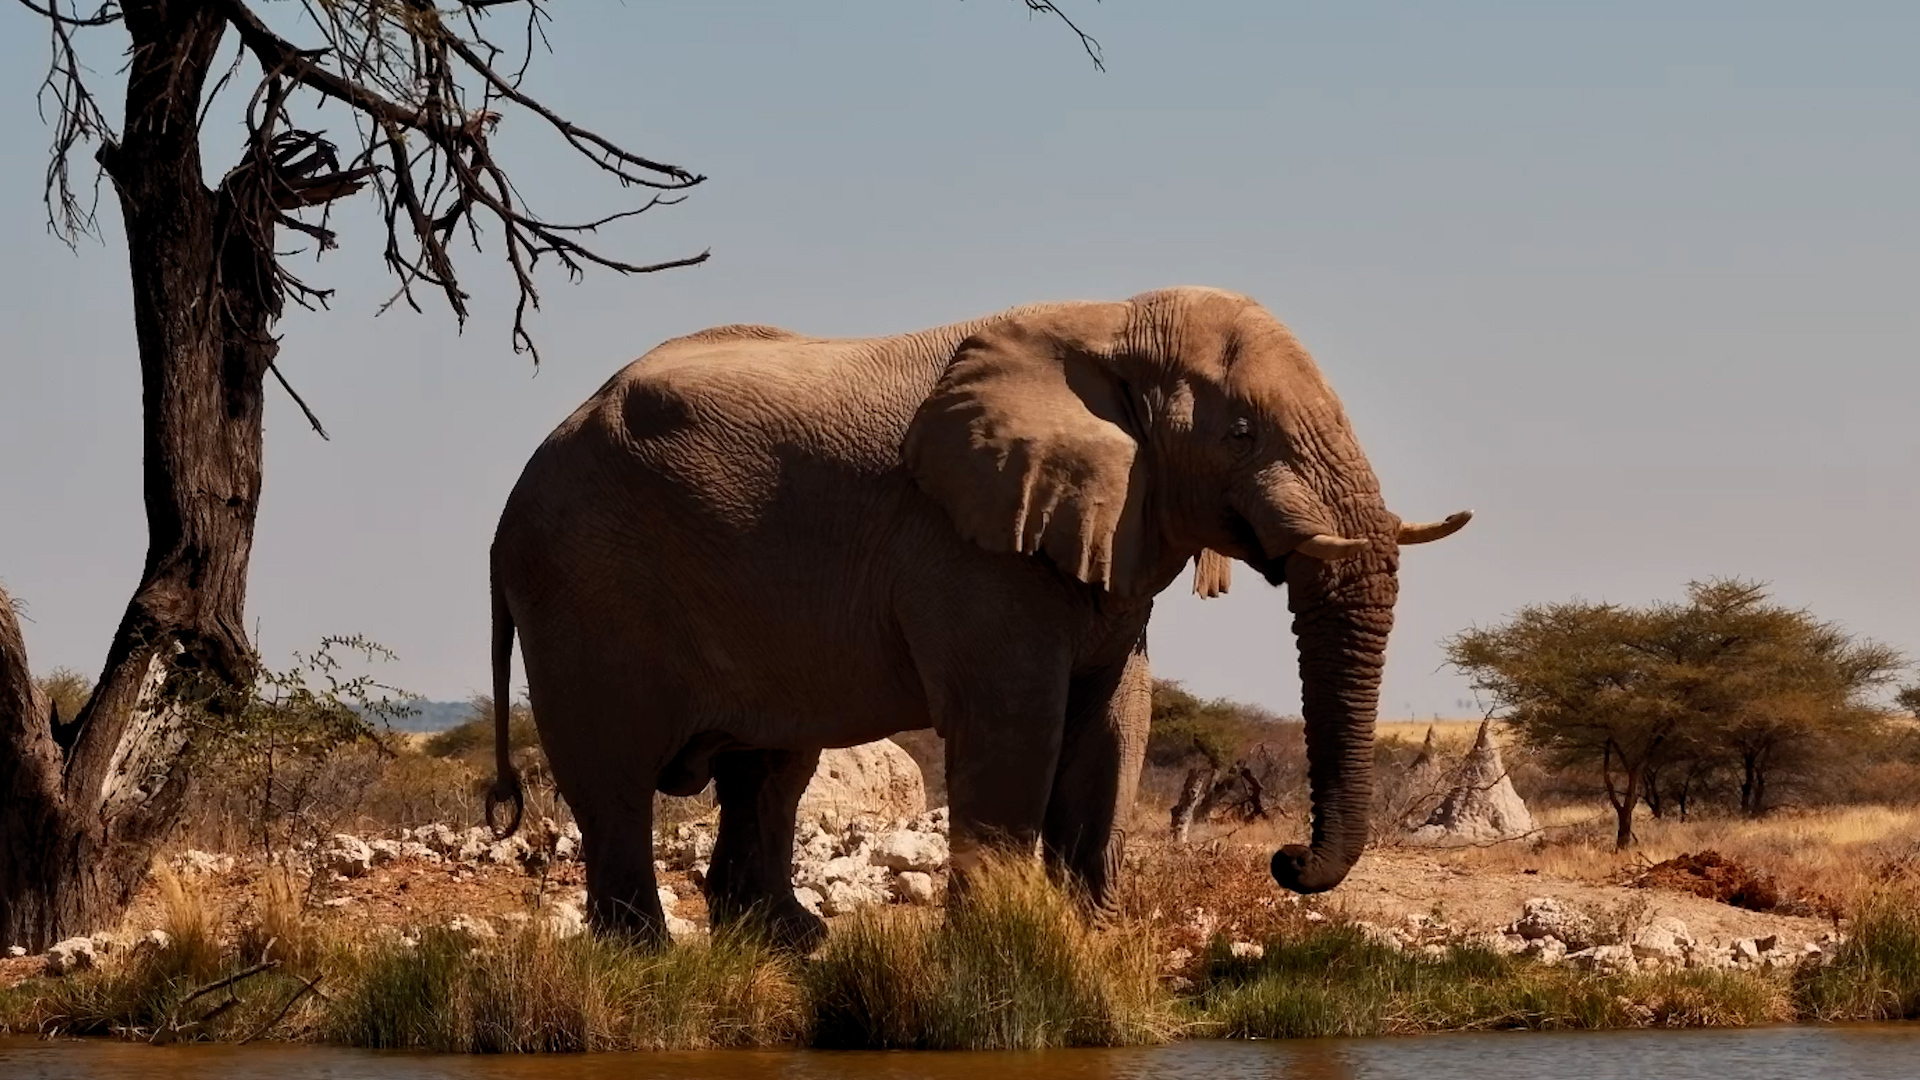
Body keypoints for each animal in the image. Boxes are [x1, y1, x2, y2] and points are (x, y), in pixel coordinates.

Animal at [482, 285, 1471, 948]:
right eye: (1240, 434)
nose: (1287, 861)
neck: (1115, 321)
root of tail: (511, 500)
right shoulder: (967, 543)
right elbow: (1016, 721)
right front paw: (1000, 952)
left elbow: (1118, 720)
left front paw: (1089, 942)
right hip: (583, 585)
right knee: (613, 776)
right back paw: (646, 955)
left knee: (770, 770)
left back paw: (791, 943)